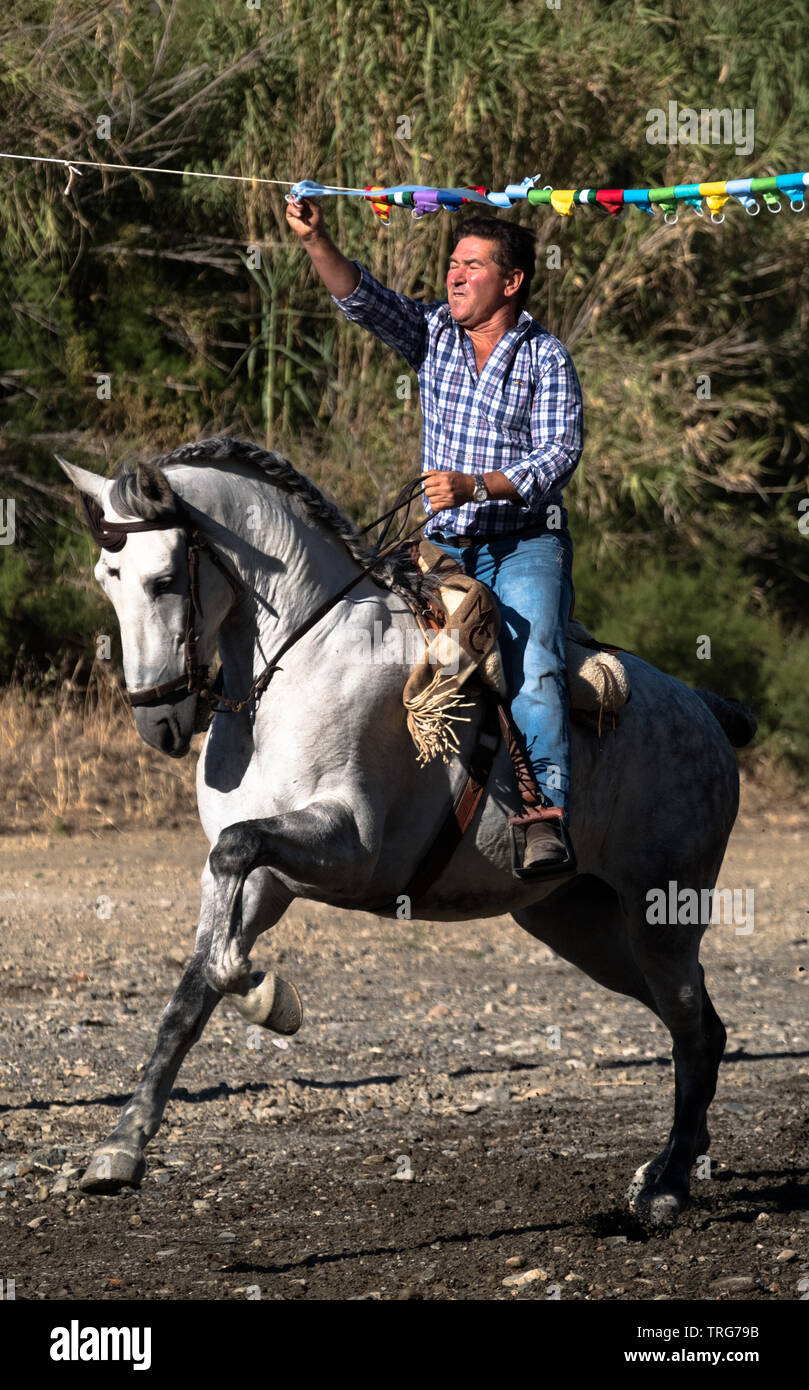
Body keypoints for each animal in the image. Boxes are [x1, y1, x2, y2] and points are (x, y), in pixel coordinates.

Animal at [58, 435, 755, 1227]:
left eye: (166, 578)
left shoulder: (349, 848)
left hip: (660, 913)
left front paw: (271, 999)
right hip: (584, 926)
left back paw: (668, 1187)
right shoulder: (257, 878)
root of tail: (702, 708)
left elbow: (232, 906)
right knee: (699, 1026)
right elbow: (192, 991)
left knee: (693, 1031)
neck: (304, 658)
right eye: (107, 578)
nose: (158, 718)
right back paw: (670, 1167)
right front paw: (119, 1152)